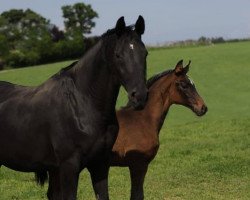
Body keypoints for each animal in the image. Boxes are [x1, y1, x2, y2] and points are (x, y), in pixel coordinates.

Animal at [0, 16, 148, 200]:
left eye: (145, 53)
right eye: (118, 55)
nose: (139, 97)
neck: (82, 104)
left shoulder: (100, 164)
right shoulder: (69, 167)